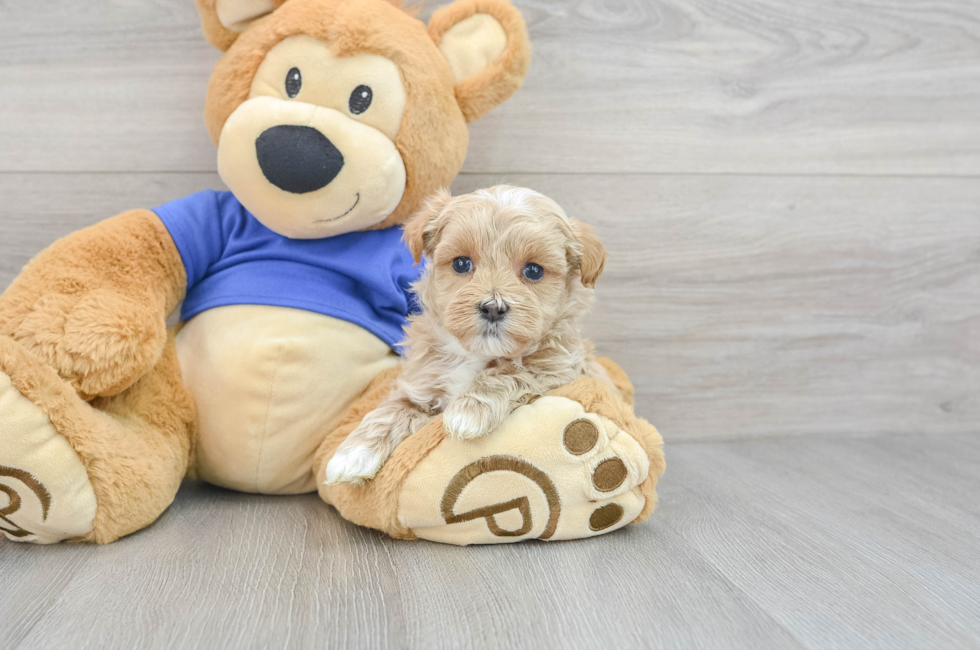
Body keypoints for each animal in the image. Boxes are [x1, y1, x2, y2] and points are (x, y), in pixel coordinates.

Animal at [326, 185, 608, 484]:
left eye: (534, 270)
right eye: (461, 264)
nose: (493, 307)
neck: (474, 353)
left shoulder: (559, 367)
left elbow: (513, 371)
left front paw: (469, 411)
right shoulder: (419, 383)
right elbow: (392, 409)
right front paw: (352, 454)